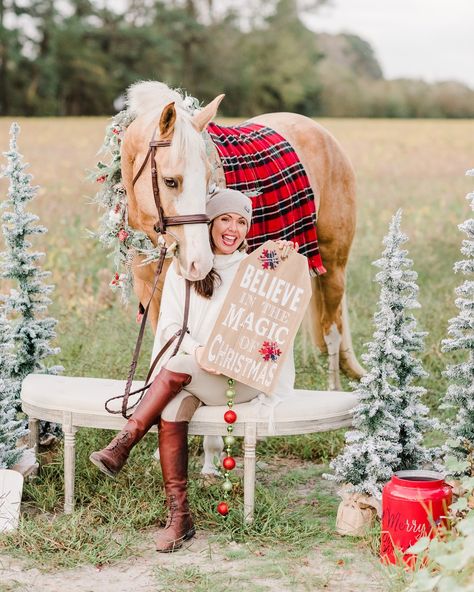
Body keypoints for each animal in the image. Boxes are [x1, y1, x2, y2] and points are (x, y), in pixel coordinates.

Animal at [121, 82, 362, 388]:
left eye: (208, 179)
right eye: (170, 181)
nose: (199, 262)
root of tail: (322, 133)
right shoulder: (152, 293)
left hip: (333, 265)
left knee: (332, 331)